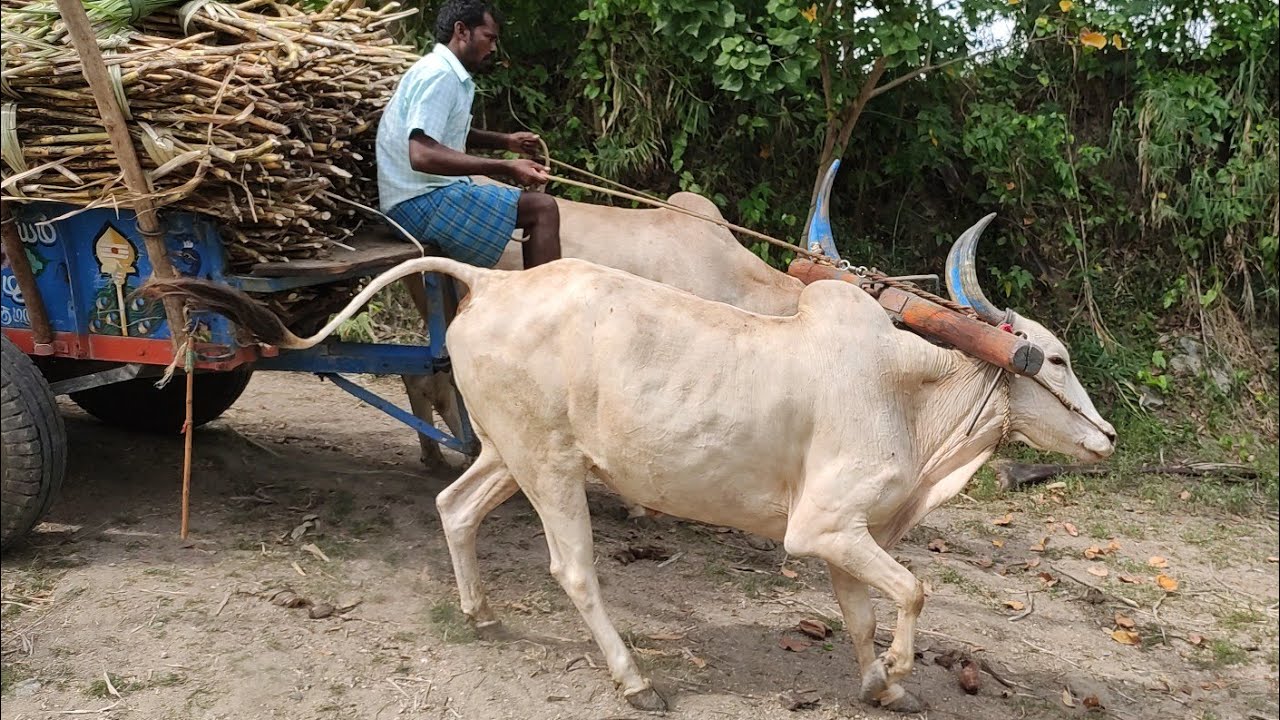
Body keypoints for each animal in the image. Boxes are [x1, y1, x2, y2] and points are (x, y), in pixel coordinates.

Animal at [143, 215, 1116, 713]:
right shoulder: (823, 527)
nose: (1108, 439)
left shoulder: (849, 536)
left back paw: (481, 614)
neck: (910, 388)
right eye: (1057, 359)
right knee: (572, 568)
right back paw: (635, 678)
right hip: (549, 467)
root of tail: (492, 282)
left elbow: (862, 616)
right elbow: (912, 592)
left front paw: (882, 684)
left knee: (455, 507)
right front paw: (907, 671)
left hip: (512, 452)